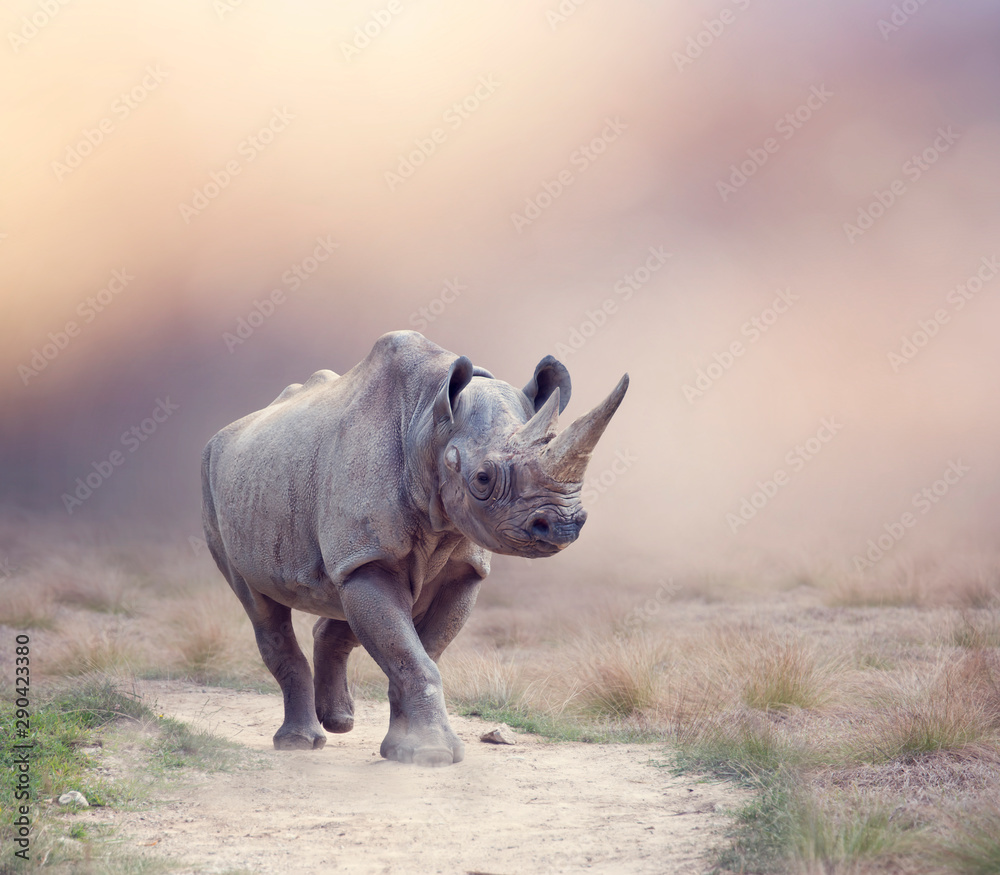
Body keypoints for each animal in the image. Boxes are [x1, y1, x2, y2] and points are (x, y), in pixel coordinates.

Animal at [201, 331, 628, 765]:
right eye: (483, 478)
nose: (562, 525)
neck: (428, 424)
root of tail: (226, 431)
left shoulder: (457, 569)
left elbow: (422, 651)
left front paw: (405, 749)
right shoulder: (369, 555)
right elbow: (410, 654)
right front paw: (431, 754)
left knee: (339, 596)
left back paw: (339, 722)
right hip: (212, 480)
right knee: (260, 605)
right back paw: (300, 743)